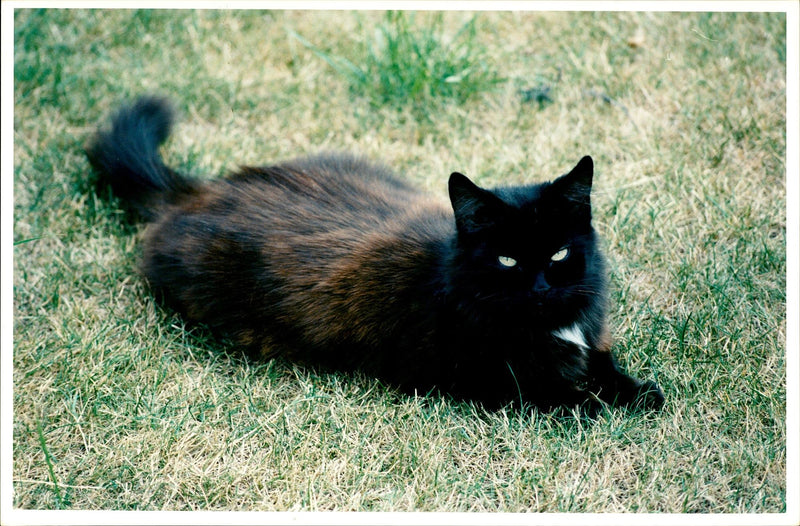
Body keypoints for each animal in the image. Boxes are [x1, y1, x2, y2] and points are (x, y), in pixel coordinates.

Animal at [84, 97, 664, 414]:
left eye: (560, 252)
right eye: (507, 261)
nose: (542, 287)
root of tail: (196, 192)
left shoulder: (591, 337)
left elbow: (605, 364)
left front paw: (637, 390)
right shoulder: (483, 382)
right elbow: (562, 394)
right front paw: (605, 400)